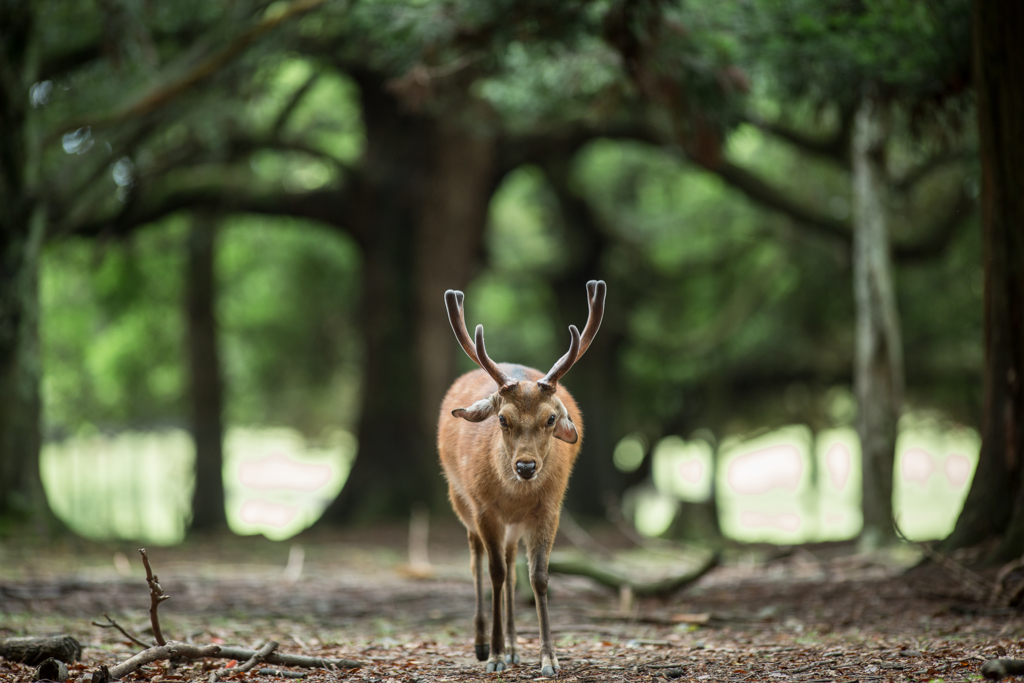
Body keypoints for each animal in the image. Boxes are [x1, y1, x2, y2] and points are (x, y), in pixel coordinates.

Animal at [436, 280, 602, 675]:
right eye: (502, 418)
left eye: (551, 418)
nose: (526, 467)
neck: (516, 495)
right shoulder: (484, 509)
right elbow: (493, 572)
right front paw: (495, 655)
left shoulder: (549, 509)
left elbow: (538, 577)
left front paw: (549, 658)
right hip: (459, 500)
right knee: (478, 561)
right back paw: (484, 643)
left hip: (514, 526)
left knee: (513, 567)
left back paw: (514, 647)